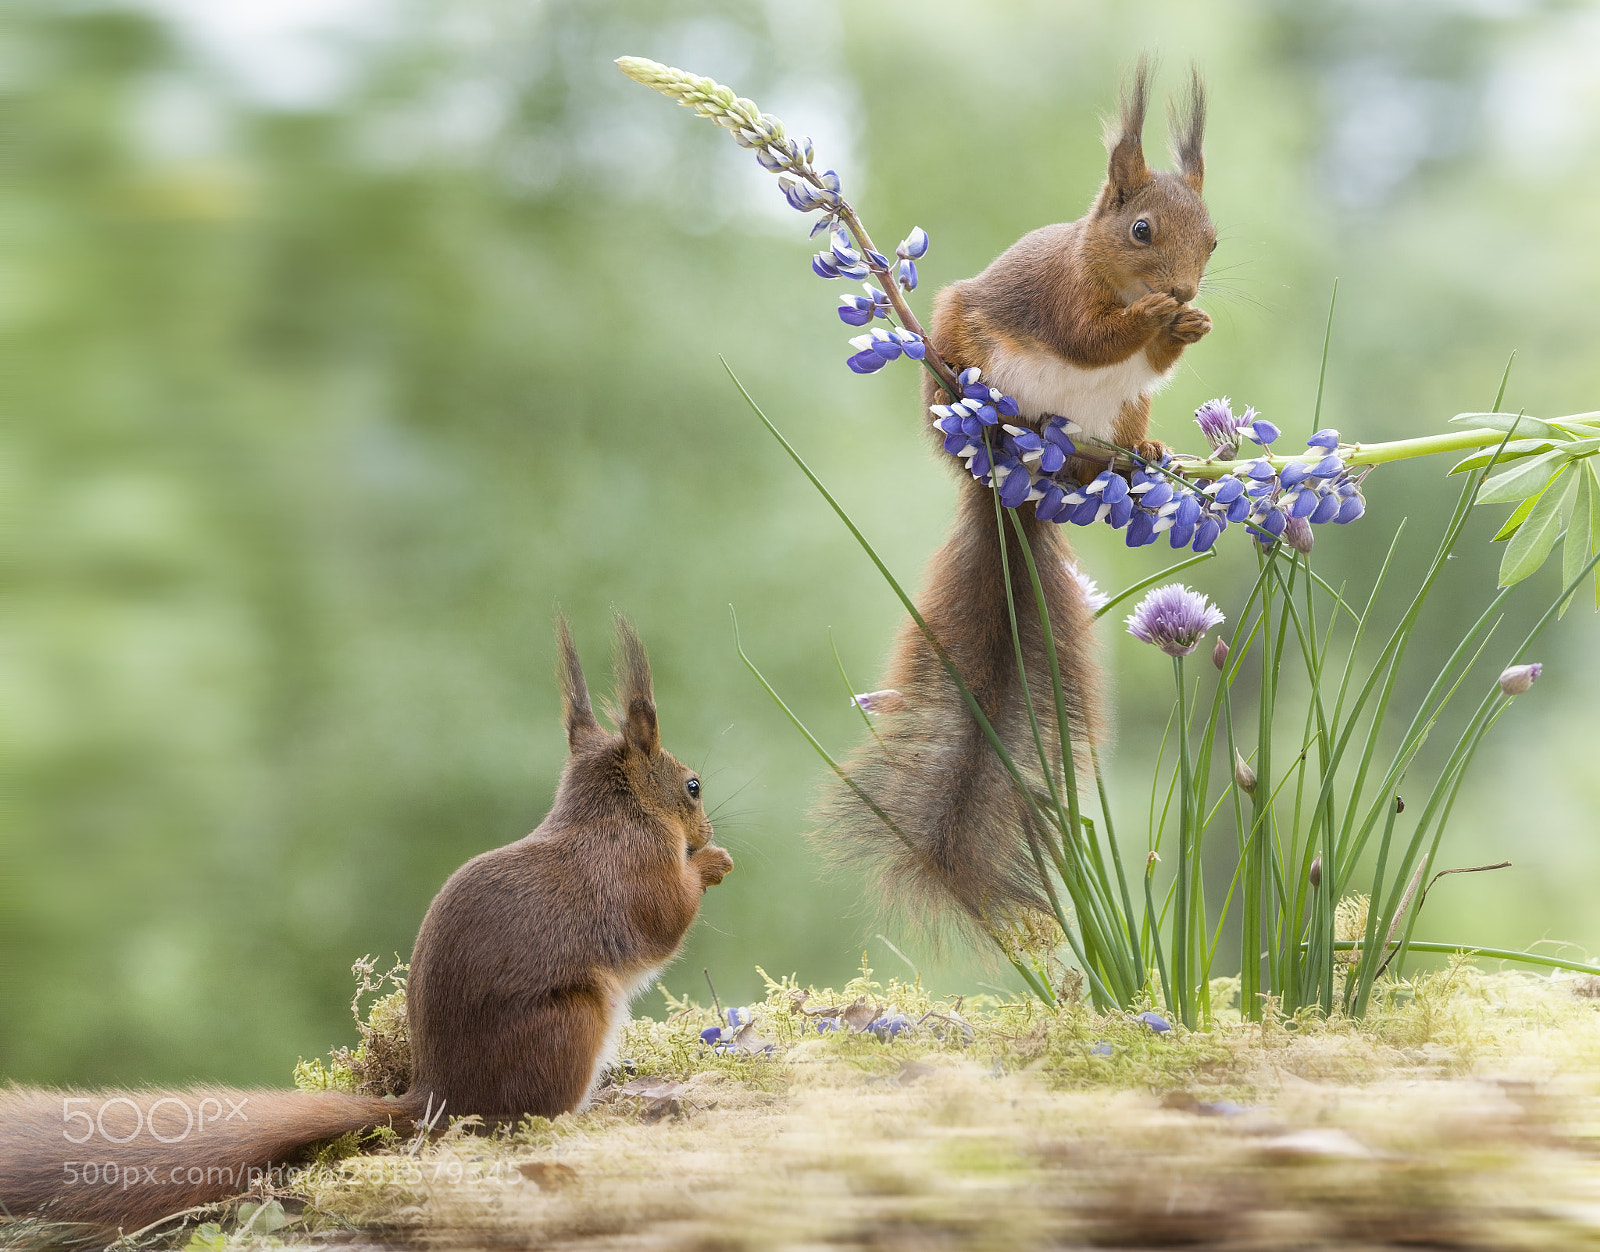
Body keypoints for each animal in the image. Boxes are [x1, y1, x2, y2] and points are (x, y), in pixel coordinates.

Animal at [0, 615, 732, 1233]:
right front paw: (711, 863)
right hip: (569, 1023)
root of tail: (439, 1098)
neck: (614, 815)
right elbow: (667, 921)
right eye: (693, 786)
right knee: (527, 1120)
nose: (707, 827)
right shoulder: (634, 873)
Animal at [819, 61, 1215, 936]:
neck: (1100, 264)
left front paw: (1185, 325)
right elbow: (1091, 339)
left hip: (1120, 416)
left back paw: (1140, 455)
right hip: (955, 356)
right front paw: (1154, 317)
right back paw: (1009, 425)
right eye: (1141, 230)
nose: (1182, 289)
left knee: (1117, 433)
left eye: (1214, 239)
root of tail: (1014, 491)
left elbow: (1148, 362)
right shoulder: (1061, 298)